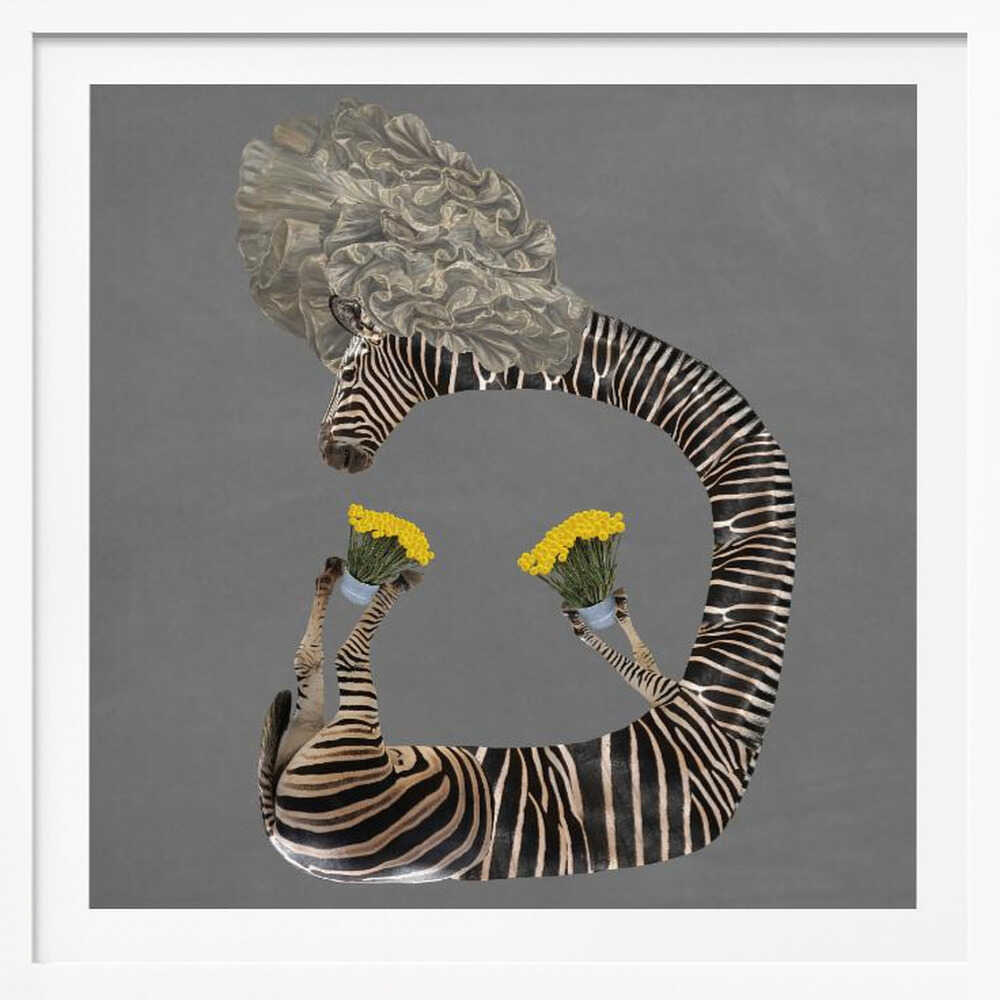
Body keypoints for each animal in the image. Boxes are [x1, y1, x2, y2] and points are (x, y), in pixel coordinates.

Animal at [258, 307, 796, 883]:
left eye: (348, 374)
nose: (329, 455)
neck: (733, 716)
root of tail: (279, 831)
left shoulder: (674, 702)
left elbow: (640, 663)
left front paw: (599, 617)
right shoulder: (678, 704)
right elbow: (639, 662)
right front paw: (599, 620)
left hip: (343, 747)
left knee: (326, 665)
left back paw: (366, 579)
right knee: (330, 661)